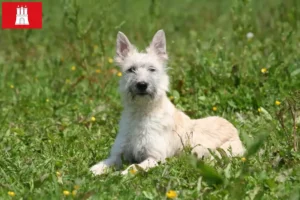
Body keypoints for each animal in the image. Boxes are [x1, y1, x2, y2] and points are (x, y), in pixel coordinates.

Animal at [90, 29, 245, 175]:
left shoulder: (155, 158)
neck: (142, 112)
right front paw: (94, 172)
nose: (142, 85)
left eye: (152, 69)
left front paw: (120, 174)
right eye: (131, 69)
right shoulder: (118, 155)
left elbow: (133, 167)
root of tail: (234, 129)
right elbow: (103, 163)